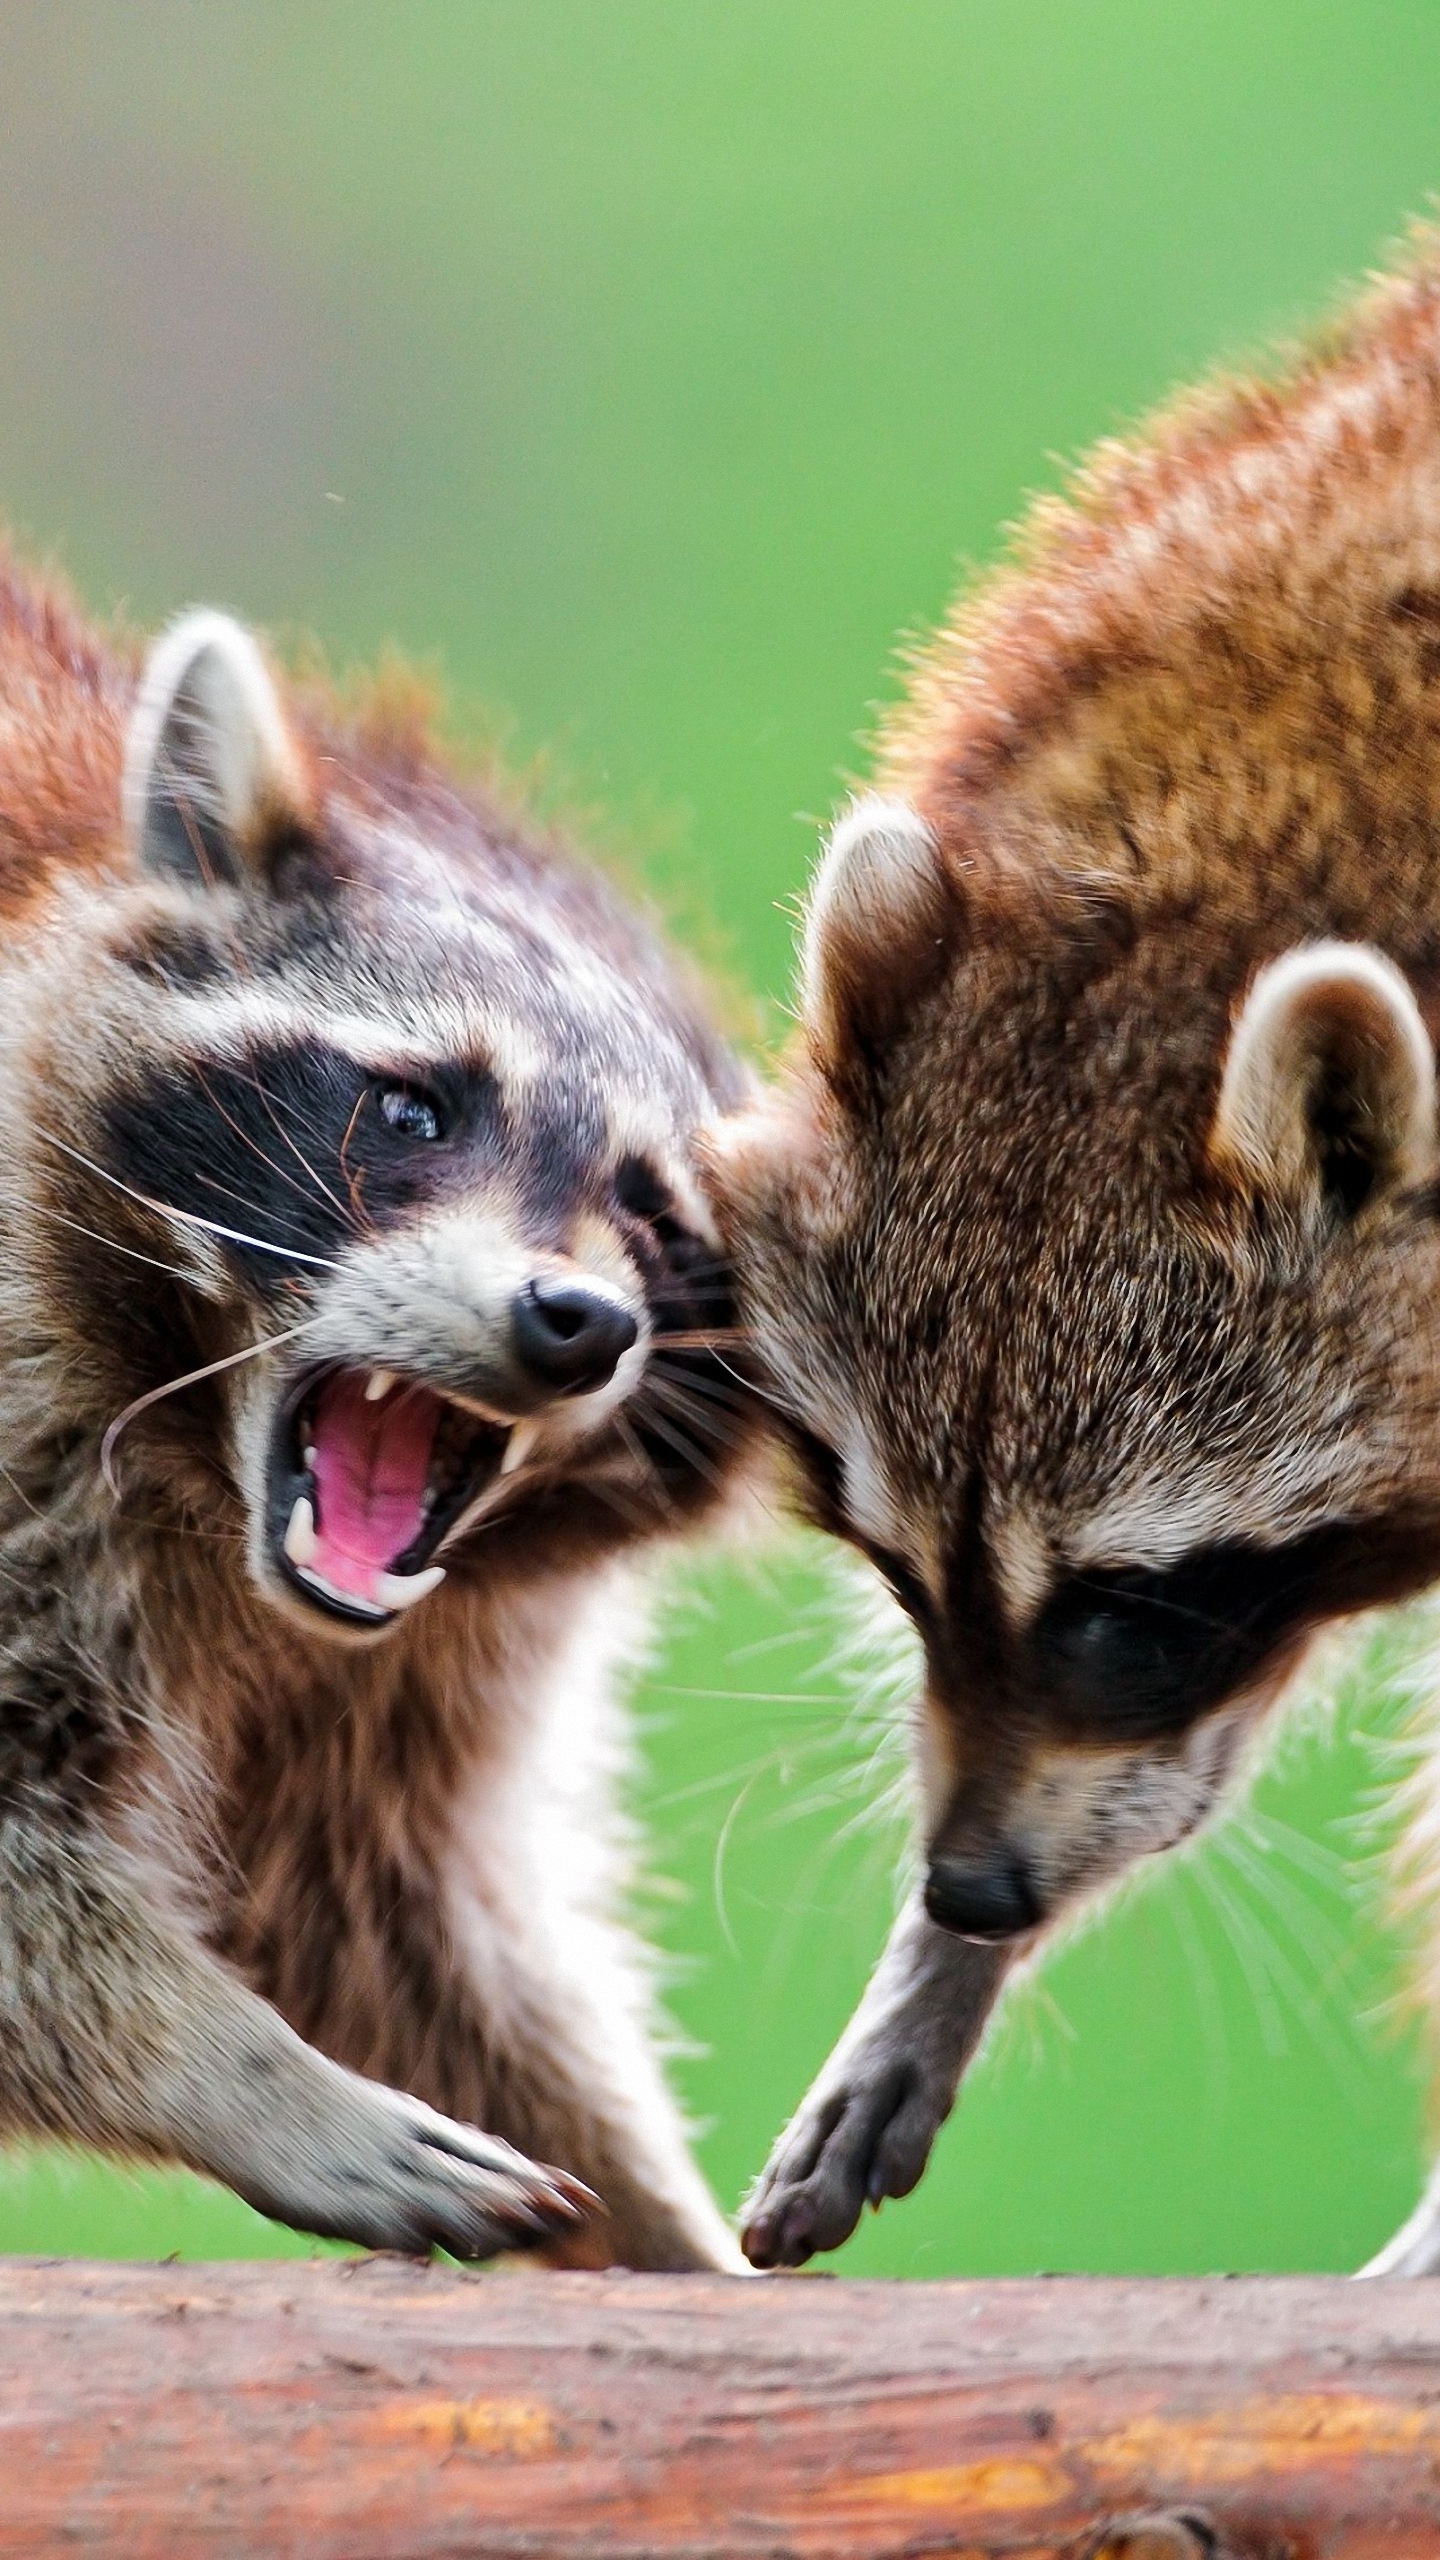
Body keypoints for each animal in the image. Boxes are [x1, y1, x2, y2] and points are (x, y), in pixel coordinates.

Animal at [0, 555, 758, 2263]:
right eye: (413, 1109)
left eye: (655, 1219)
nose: (574, 1322)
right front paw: (239, 2069)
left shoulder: (420, 1660)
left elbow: (389, 1927)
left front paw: (659, 2224)